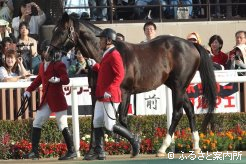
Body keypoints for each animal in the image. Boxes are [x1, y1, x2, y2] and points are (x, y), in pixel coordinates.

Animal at [50, 12, 217, 156]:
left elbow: (122, 119)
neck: (106, 54)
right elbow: (96, 120)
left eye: (61, 31)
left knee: (177, 113)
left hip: (178, 85)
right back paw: (196, 146)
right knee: (190, 109)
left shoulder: (124, 92)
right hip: (177, 86)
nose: (49, 53)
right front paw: (94, 152)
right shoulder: (97, 92)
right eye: (54, 30)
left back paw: (162, 147)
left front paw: (135, 144)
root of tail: (191, 44)